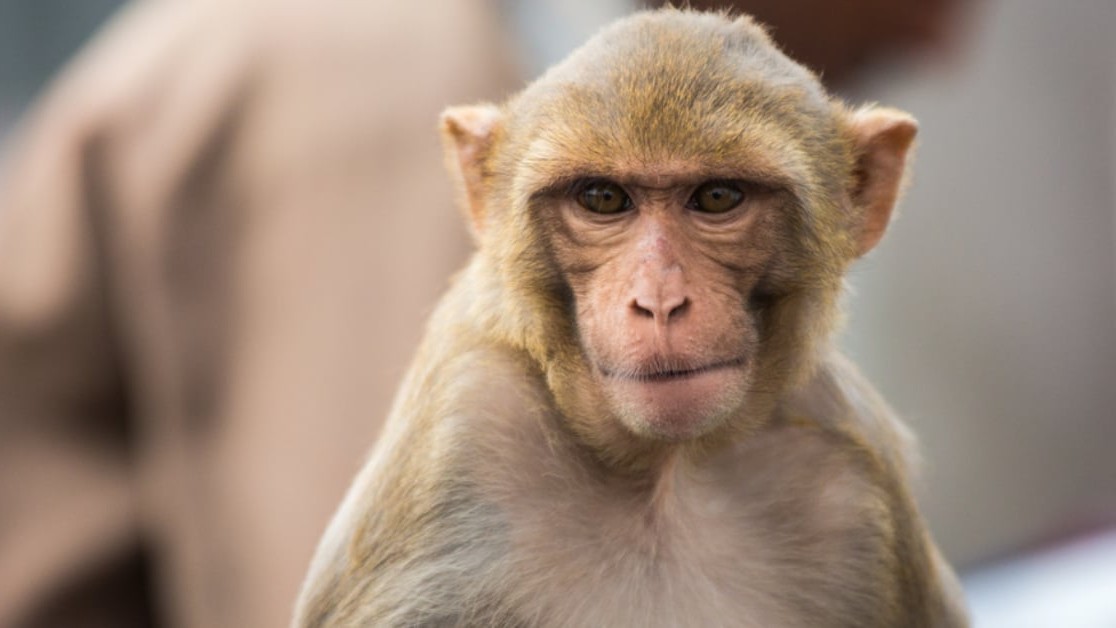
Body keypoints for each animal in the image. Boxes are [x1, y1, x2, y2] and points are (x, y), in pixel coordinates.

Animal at [293, 9, 968, 628]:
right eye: (602, 198)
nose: (659, 300)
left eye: (717, 197)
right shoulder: (460, 437)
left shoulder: (860, 481)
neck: (664, 474)